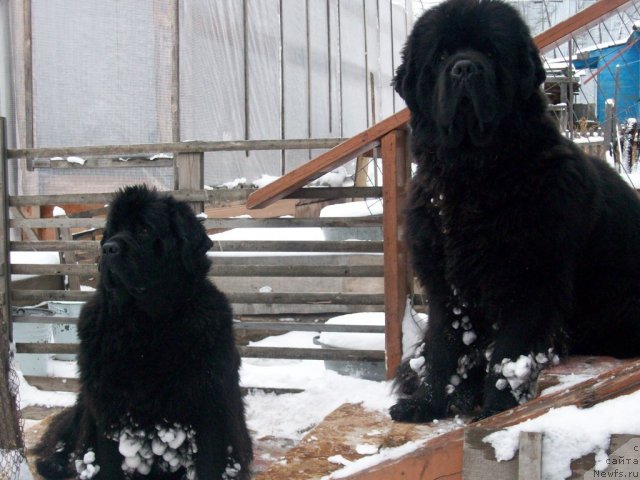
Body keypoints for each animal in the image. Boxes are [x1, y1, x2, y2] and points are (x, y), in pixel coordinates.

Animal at [33, 187, 251, 480]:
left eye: (145, 230)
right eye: (113, 230)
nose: (108, 248)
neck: (146, 325)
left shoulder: (210, 403)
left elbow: (209, 463)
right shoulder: (105, 405)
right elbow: (107, 462)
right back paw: (55, 463)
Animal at [390, 0, 640, 422]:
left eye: (491, 53)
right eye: (440, 56)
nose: (464, 68)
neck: (475, 176)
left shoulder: (531, 280)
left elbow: (509, 355)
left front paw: (496, 410)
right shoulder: (446, 286)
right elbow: (443, 347)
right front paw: (428, 404)